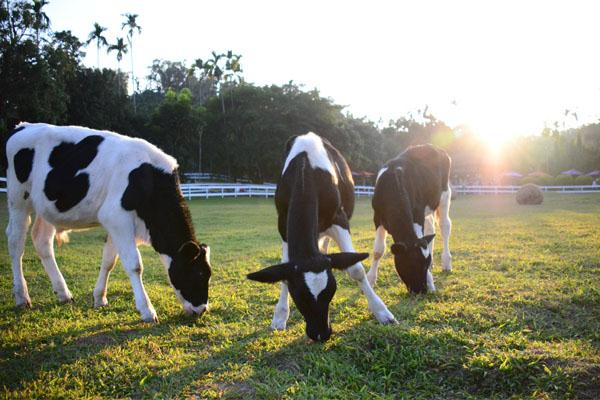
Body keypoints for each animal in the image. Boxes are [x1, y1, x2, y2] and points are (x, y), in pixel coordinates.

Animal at [2, 122, 212, 322]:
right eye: (198, 274)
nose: (201, 310)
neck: (148, 179)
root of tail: (24, 126)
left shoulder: (115, 222)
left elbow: (109, 261)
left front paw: (99, 298)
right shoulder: (117, 216)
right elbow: (134, 265)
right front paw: (147, 310)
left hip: (46, 207)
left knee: (42, 241)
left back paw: (63, 293)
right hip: (18, 198)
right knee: (15, 242)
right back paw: (22, 297)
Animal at [246, 131, 396, 340]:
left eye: (331, 291)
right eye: (299, 296)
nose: (321, 334)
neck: (305, 171)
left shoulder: (340, 220)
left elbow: (356, 269)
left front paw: (381, 312)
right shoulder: (283, 226)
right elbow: (284, 270)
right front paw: (280, 316)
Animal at [366, 145, 454, 294]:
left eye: (425, 263)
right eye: (412, 264)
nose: (422, 290)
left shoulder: (417, 213)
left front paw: (431, 281)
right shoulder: (377, 216)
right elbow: (378, 250)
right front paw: (371, 280)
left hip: (444, 195)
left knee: (445, 226)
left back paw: (446, 262)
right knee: (430, 228)